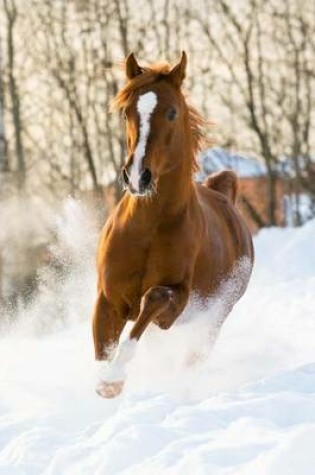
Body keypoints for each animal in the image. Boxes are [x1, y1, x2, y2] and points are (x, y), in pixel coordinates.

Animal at [92, 54, 256, 400]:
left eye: (171, 112)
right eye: (126, 111)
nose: (137, 176)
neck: (148, 227)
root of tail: (223, 193)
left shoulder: (175, 302)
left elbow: (152, 300)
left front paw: (113, 380)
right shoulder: (108, 299)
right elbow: (102, 350)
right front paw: (104, 384)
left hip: (213, 319)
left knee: (190, 360)